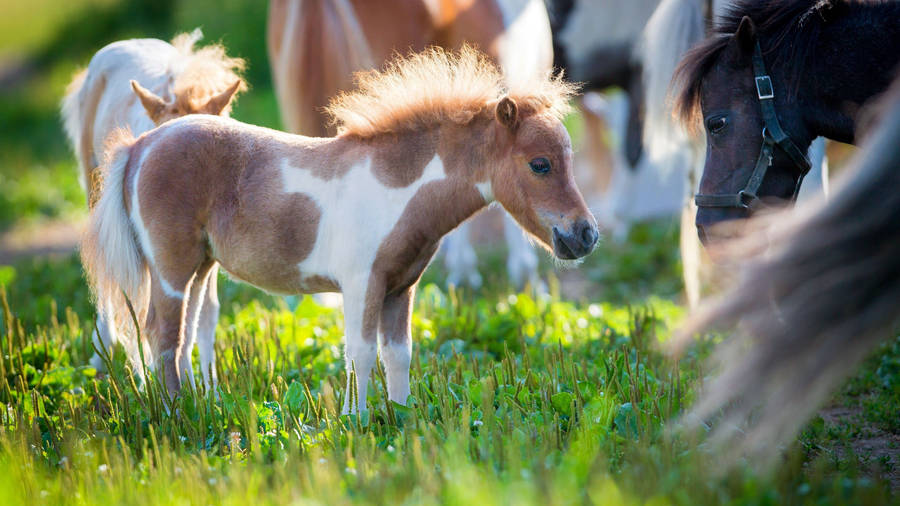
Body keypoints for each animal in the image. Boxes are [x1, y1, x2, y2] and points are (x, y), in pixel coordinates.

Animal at [81, 47, 598, 410]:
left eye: (570, 159)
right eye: (540, 164)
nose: (586, 235)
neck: (395, 187)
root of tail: (142, 145)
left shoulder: (401, 288)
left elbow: (398, 353)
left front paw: (400, 419)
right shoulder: (362, 282)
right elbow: (360, 352)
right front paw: (356, 422)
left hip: (202, 267)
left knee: (186, 335)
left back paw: (199, 406)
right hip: (170, 267)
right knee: (161, 335)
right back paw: (176, 416)